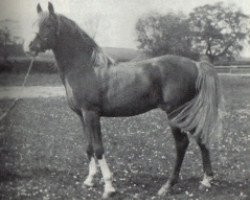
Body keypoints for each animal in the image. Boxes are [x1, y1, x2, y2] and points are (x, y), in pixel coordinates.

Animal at [29, 2, 223, 198]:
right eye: (34, 23)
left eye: (48, 25)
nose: (30, 46)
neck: (86, 68)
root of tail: (196, 64)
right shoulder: (82, 116)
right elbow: (89, 147)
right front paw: (89, 181)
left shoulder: (92, 114)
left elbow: (98, 149)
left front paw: (109, 187)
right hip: (186, 113)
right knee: (200, 137)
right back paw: (206, 181)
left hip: (176, 113)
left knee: (182, 144)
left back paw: (168, 186)